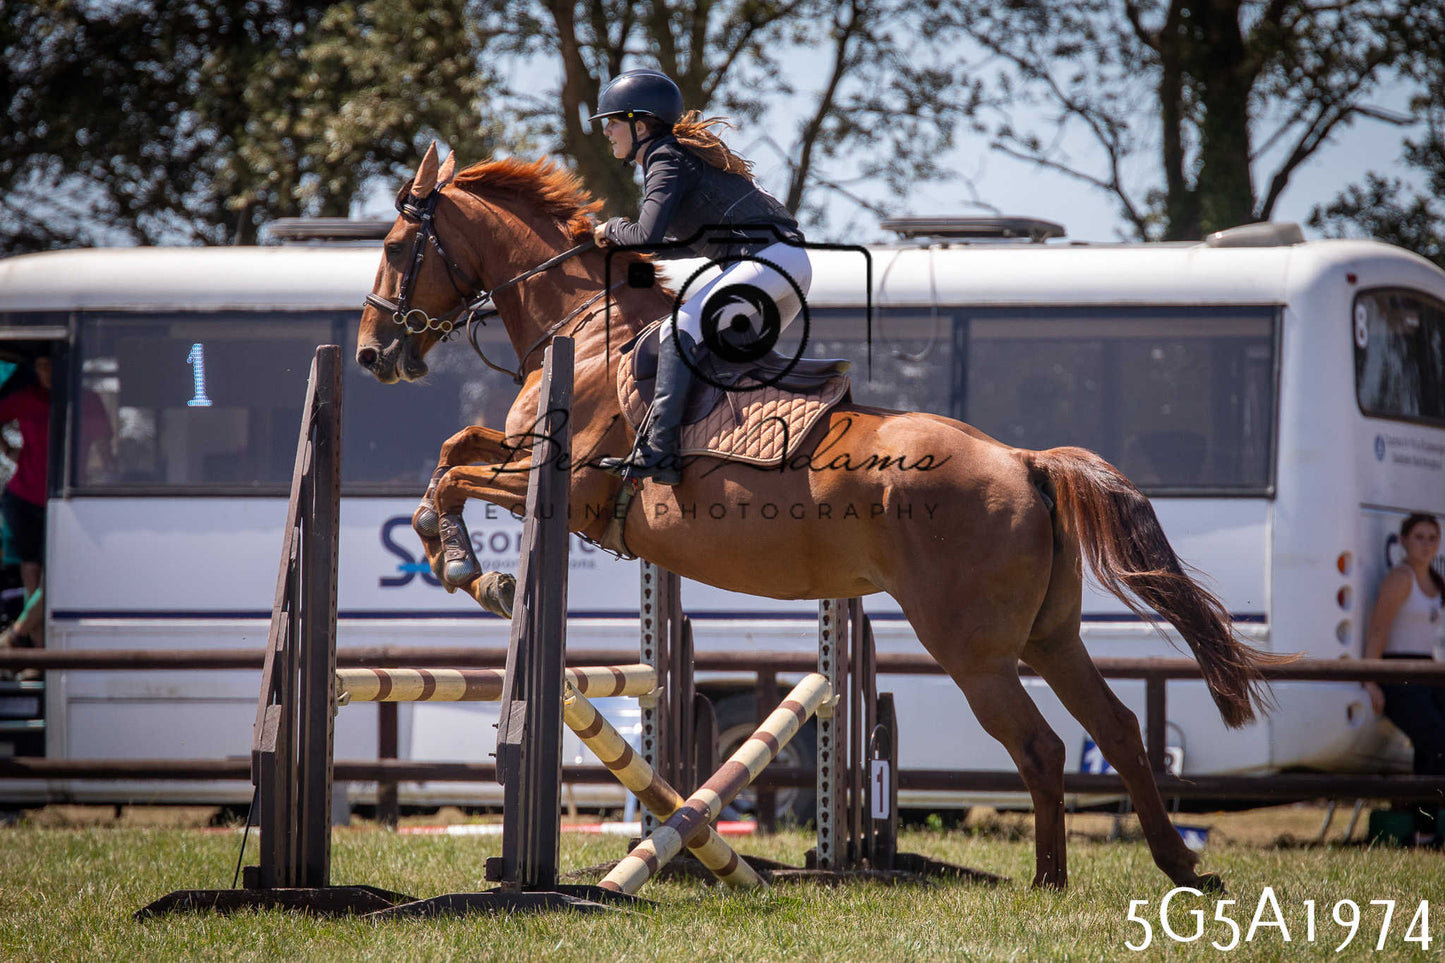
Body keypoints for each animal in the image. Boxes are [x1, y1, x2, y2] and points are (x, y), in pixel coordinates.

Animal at [356, 143, 1288, 892]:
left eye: (398, 246)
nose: (373, 353)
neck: (581, 330)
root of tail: (1025, 462)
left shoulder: (564, 485)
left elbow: (452, 472)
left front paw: (461, 563)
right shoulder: (528, 462)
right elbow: (454, 449)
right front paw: (462, 558)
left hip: (972, 648)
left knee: (1041, 746)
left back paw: (1050, 880)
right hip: (1049, 636)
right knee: (1118, 729)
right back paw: (1179, 864)